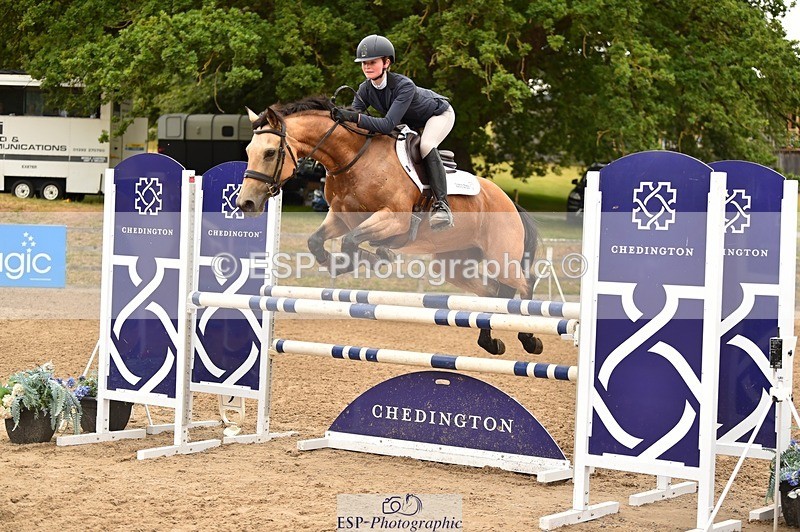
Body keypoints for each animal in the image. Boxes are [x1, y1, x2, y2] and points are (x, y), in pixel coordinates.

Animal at [236, 96, 543, 356]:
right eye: (249, 150)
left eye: (270, 152)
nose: (246, 203)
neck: (353, 159)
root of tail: (509, 202)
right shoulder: (340, 217)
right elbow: (317, 242)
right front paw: (349, 262)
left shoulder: (393, 219)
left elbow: (351, 242)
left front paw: (376, 257)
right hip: (452, 263)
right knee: (491, 294)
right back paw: (490, 342)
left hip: (500, 258)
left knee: (524, 284)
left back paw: (530, 339)